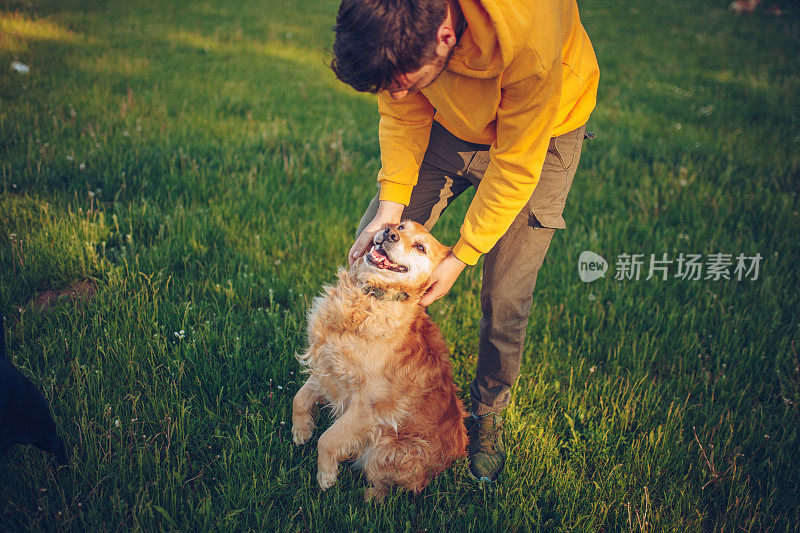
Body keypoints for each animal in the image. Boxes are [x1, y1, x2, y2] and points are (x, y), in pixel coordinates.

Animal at [292, 219, 468, 498]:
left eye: (420, 247)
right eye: (401, 226)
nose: (389, 233)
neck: (367, 297)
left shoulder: (367, 406)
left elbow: (328, 439)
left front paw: (326, 475)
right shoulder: (327, 367)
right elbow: (299, 399)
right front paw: (301, 430)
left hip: (389, 451)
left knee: (385, 486)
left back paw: (368, 499)